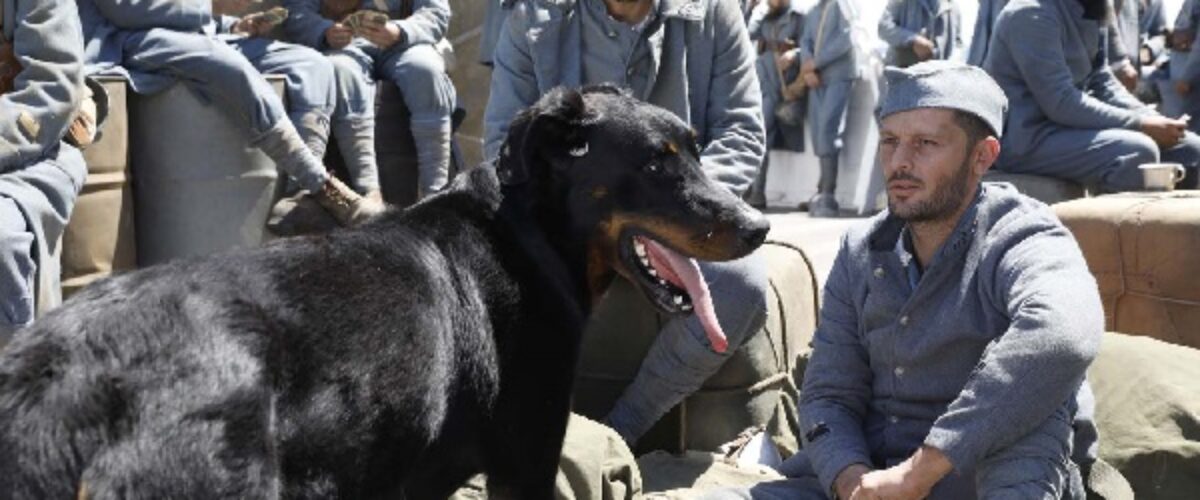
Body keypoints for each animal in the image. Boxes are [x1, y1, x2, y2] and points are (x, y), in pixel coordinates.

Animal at [0, 86, 768, 498]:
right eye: (655, 165)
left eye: (697, 150)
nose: (758, 226)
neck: (526, 231)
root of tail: (64, 370)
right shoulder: (526, 456)